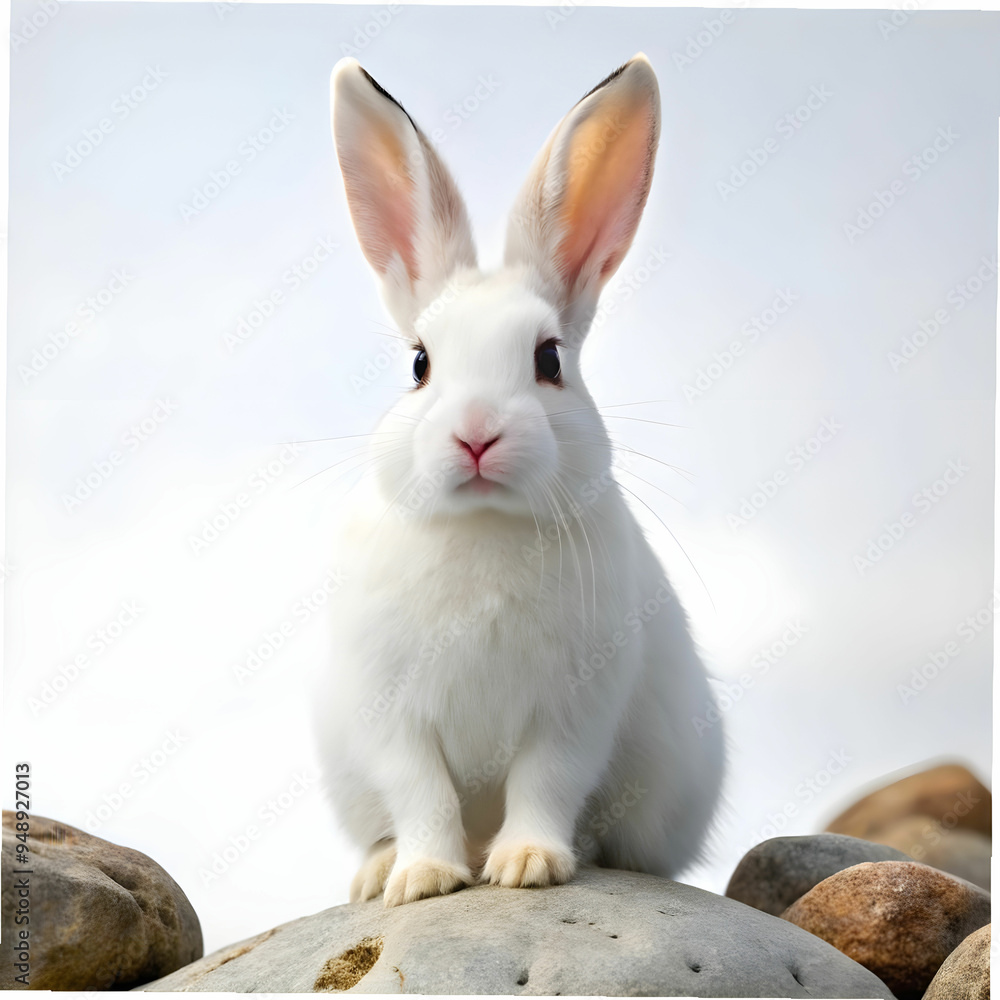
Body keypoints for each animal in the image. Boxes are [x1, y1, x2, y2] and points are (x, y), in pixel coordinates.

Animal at [316, 52, 724, 908]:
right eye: (419, 363)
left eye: (548, 360)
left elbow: (546, 783)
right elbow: (423, 795)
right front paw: (425, 880)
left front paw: (528, 866)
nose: (477, 434)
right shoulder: (393, 717)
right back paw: (376, 873)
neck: (483, 523)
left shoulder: (572, 711)